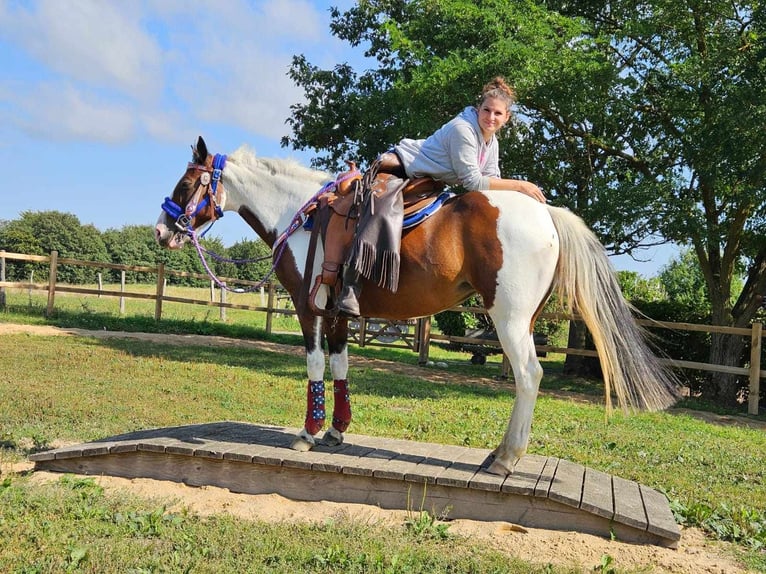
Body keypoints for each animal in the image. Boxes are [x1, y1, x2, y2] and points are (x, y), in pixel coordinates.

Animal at [153, 136, 680, 476]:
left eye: (186, 185)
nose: (161, 230)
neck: (301, 216)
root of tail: (546, 213)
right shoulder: (339, 312)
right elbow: (341, 367)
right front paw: (337, 431)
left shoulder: (310, 310)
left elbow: (316, 366)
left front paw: (308, 432)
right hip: (524, 319)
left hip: (508, 319)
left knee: (529, 376)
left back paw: (505, 457)